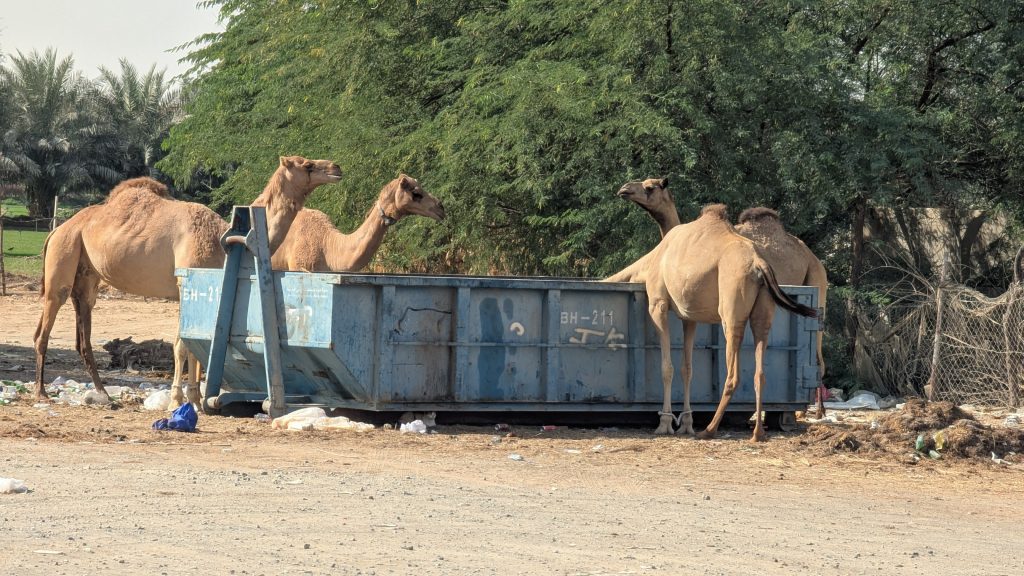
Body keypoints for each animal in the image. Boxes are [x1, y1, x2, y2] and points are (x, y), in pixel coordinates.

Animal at [33, 156, 343, 408]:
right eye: (307, 165)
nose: (336, 168)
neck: (223, 239)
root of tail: (57, 230)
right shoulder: (185, 284)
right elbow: (182, 344)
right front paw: (176, 400)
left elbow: (196, 343)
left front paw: (194, 398)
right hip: (63, 258)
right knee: (44, 327)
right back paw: (41, 393)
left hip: (86, 275)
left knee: (82, 333)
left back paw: (103, 393)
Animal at [608, 178, 829, 415]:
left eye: (650, 187)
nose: (624, 189)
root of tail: (813, 258)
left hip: (812, 285)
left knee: (814, 357)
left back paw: (815, 411)